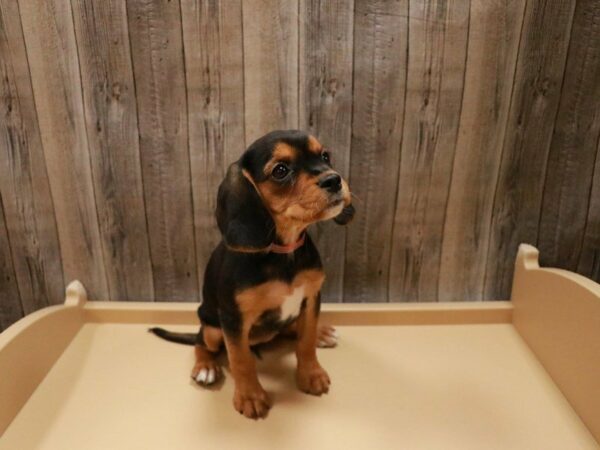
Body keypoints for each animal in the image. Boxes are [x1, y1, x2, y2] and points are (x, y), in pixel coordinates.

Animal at [150, 129, 354, 418]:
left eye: (325, 156)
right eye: (281, 170)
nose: (334, 179)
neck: (283, 252)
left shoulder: (311, 297)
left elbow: (305, 341)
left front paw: (311, 374)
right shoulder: (234, 319)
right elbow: (241, 359)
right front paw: (250, 396)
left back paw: (321, 333)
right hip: (212, 324)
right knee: (201, 341)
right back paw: (205, 367)